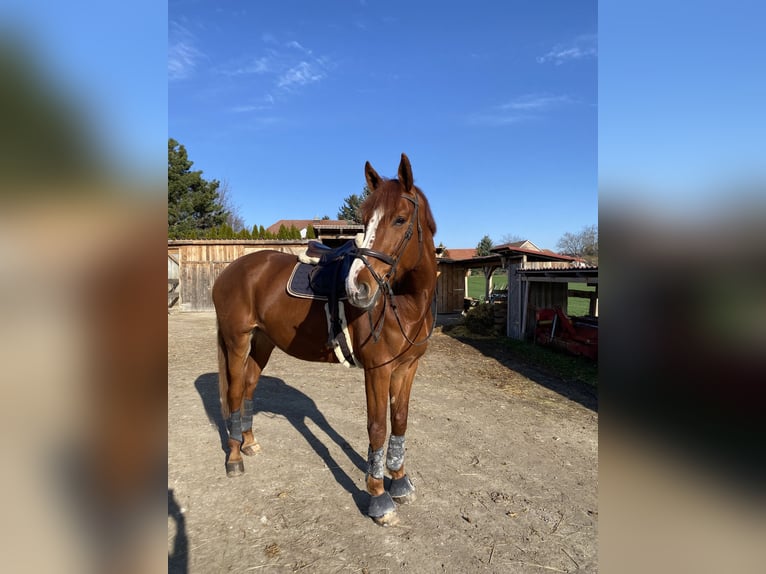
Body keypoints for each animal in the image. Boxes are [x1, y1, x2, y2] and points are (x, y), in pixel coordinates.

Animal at [211, 153, 437, 525]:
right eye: (364, 221)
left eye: (401, 219)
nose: (358, 288)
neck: (405, 304)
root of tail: (230, 271)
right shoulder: (377, 370)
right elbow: (378, 427)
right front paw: (379, 497)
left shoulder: (407, 368)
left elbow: (400, 421)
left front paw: (400, 482)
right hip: (237, 341)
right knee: (232, 392)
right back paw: (234, 458)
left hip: (262, 343)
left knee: (248, 389)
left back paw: (249, 442)